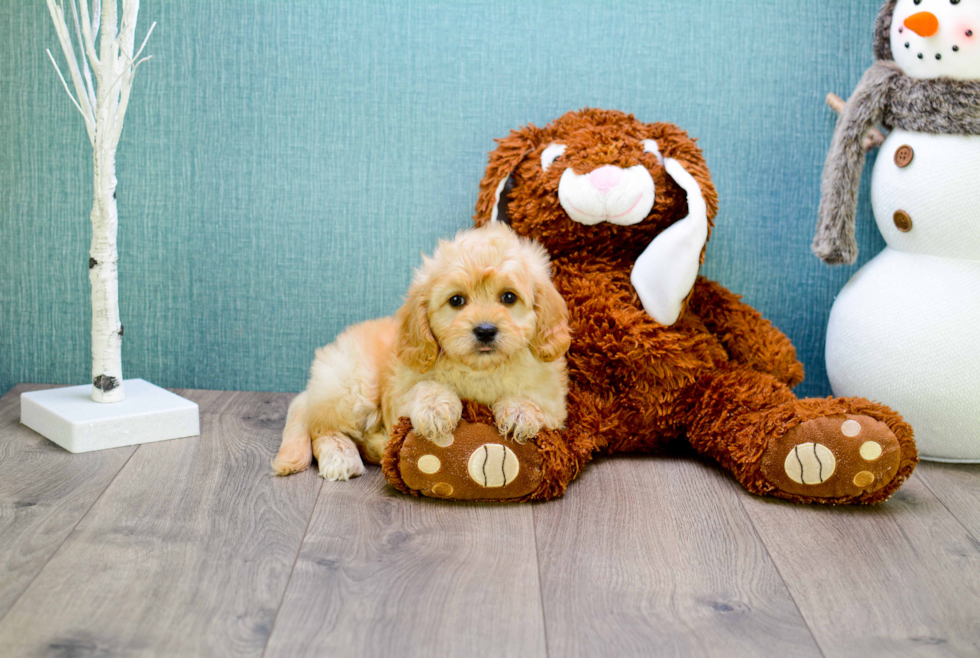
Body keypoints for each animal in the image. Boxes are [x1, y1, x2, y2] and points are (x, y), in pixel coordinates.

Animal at [272, 223, 572, 480]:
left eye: (509, 297)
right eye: (456, 300)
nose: (485, 330)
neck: (480, 370)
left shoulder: (554, 400)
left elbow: (535, 398)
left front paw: (520, 412)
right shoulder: (402, 388)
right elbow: (425, 387)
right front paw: (436, 408)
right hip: (353, 384)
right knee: (321, 426)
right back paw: (342, 456)